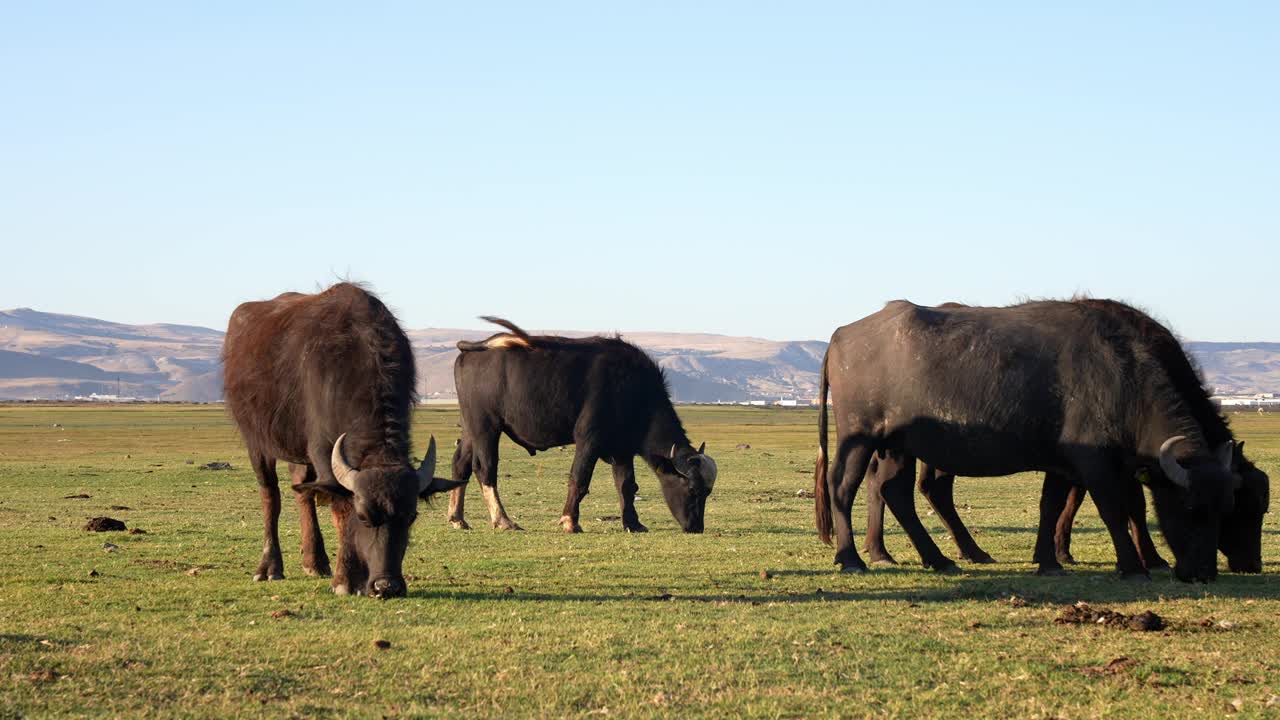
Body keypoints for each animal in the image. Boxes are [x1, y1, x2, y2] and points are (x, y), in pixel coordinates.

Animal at [222, 283, 463, 597]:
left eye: (411, 517)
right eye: (363, 517)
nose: (387, 586)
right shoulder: (321, 450)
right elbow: (339, 510)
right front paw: (345, 579)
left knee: (302, 491)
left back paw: (315, 562)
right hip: (256, 440)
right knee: (270, 495)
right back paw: (270, 567)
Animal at [445, 316, 716, 530]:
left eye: (708, 492)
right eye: (692, 490)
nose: (696, 527)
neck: (633, 391)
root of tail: (472, 351)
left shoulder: (622, 449)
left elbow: (627, 485)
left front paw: (633, 523)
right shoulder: (589, 440)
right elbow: (580, 477)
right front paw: (570, 521)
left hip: (470, 428)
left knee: (461, 464)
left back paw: (458, 518)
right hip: (486, 426)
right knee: (485, 468)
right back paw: (503, 520)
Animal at [808, 299, 1239, 579]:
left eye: (1226, 509)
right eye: (1190, 508)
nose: (1204, 572)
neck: (1122, 379)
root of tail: (842, 335)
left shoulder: (1063, 463)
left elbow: (1051, 507)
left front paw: (1048, 560)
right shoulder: (1096, 464)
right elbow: (1113, 509)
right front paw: (1133, 566)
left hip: (898, 445)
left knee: (894, 491)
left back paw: (939, 558)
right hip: (859, 436)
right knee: (842, 486)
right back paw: (851, 558)